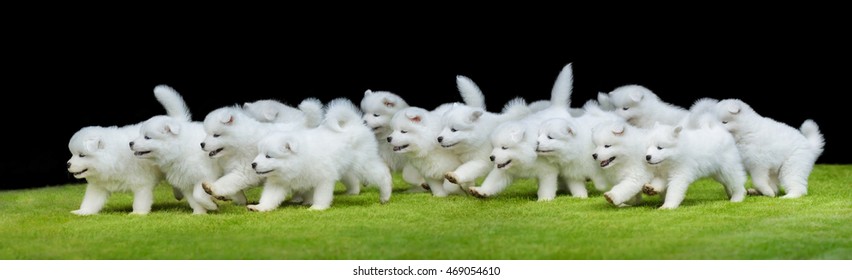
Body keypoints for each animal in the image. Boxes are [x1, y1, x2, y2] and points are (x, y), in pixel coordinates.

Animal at [246, 99, 392, 211]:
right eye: (259, 154)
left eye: (268, 156)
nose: (253, 164)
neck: (298, 161)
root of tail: (354, 123)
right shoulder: (278, 182)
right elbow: (270, 196)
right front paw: (259, 207)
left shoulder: (324, 178)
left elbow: (321, 195)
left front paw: (317, 208)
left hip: (363, 163)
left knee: (382, 174)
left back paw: (385, 195)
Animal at [470, 63, 576, 201]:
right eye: (494, 147)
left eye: (504, 147)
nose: (491, 157)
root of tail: (557, 107)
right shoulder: (503, 170)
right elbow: (492, 181)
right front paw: (481, 191)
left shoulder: (548, 171)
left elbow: (546, 186)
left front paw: (544, 200)